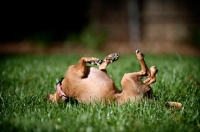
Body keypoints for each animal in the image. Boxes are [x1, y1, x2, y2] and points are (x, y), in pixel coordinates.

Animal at [46, 49, 182, 108]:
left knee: (150, 78)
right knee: (147, 74)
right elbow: (83, 58)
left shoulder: (99, 71)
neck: (62, 91)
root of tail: (145, 102)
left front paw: (109, 57)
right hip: (126, 78)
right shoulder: (79, 70)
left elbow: (101, 65)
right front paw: (94, 59)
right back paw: (142, 58)